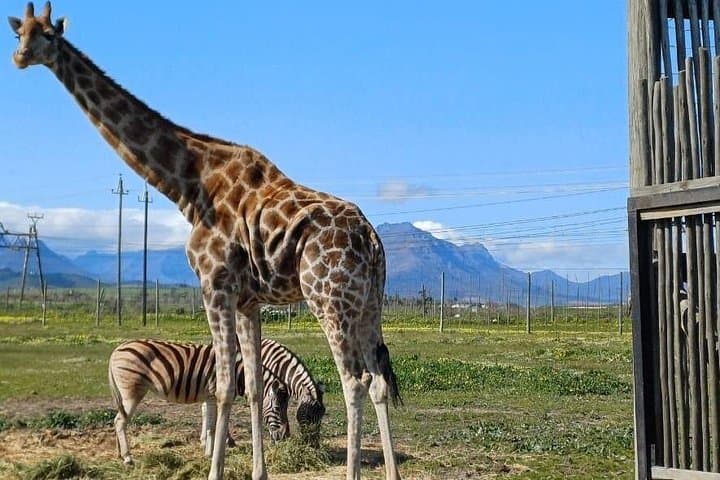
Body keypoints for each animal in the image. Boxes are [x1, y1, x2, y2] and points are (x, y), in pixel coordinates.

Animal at [8, 3, 402, 479]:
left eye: (48, 35)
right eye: (19, 33)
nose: (20, 58)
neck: (189, 185)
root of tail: (372, 240)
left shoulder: (214, 283)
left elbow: (224, 387)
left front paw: (215, 469)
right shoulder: (248, 299)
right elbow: (253, 388)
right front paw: (258, 471)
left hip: (328, 298)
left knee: (354, 381)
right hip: (369, 303)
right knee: (378, 381)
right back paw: (392, 472)